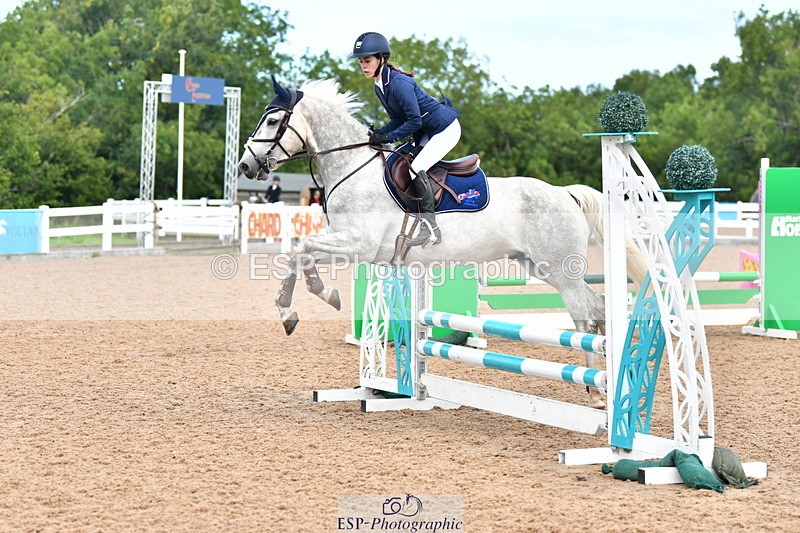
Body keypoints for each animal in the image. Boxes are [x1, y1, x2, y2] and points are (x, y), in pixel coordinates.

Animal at [238, 78, 646, 407]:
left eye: (272, 121)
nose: (245, 166)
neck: (353, 167)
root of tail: (566, 193)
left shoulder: (357, 243)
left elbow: (302, 249)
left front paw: (310, 302)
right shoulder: (363, 250)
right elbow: (300, 253)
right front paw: (299, 308)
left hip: (562, 270)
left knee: (585, 318)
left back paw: (597, 394)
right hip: (540, 266)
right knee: (598, 307)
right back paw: (607, 385)